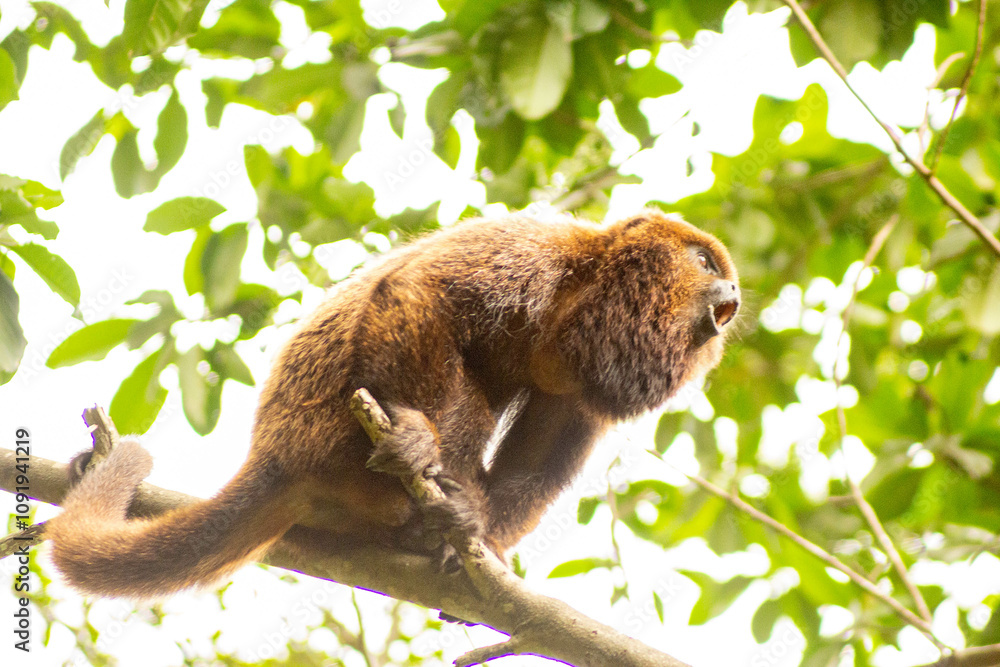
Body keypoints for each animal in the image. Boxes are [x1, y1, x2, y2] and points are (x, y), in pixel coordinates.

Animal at [45, 209, 740, 599]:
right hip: (326, 432)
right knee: (461, 388)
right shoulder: (531, 247)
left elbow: (541, 458)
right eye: (705, 261)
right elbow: (421, 291)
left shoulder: (580, 384)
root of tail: (273, 455)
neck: (581, 305)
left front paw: (479, 532)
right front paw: (415, 438)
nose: (732, 296)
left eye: (723, 272)